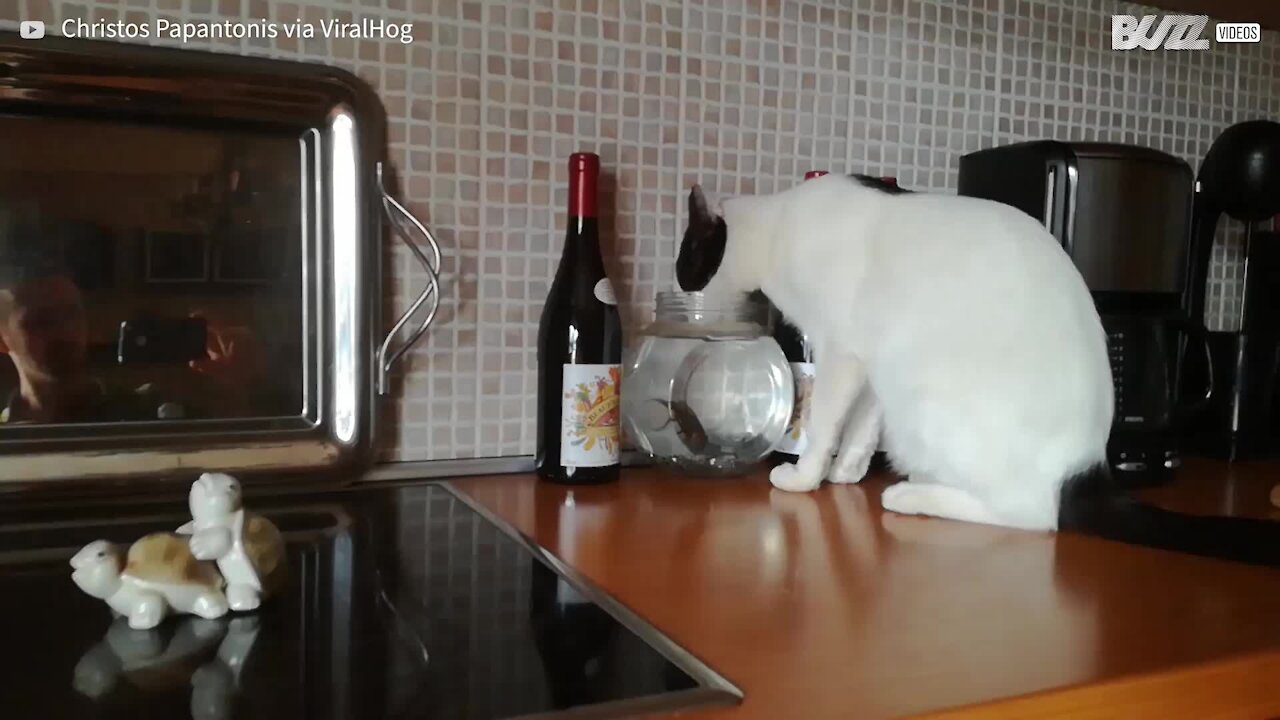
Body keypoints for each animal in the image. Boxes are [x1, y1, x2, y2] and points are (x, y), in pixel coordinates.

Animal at [675, 175, 1280, 566]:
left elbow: (825, 425)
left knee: (1034, 514)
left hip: (932, 404)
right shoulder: (874, 362)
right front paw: (846, 472)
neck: (779, 230)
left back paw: (912, 496)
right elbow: (863, 426)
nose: (678, 281)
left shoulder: (843, 350)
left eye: (685, 255)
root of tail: (1087, 465)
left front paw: (804, 477)